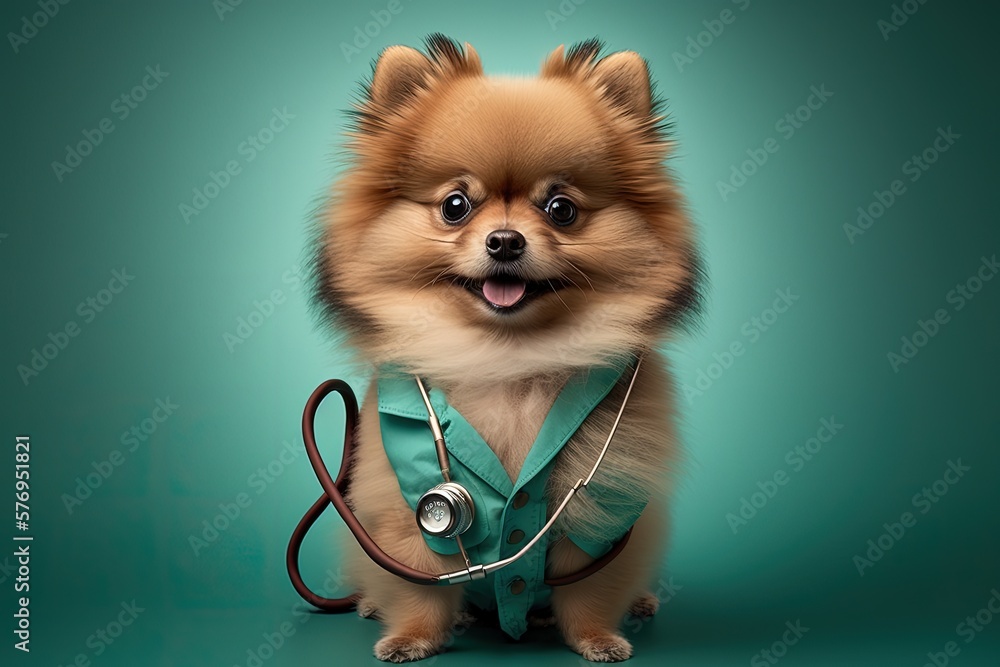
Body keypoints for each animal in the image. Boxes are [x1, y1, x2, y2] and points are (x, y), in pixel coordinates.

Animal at [316, 35, 700, 664]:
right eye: (455, 205)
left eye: (561, 209)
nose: (504, 241)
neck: (507, 358)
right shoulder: (399, 505)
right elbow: (419, 584)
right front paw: (412, 638)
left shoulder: (603, 509)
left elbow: (589, 591)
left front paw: (596, 639)